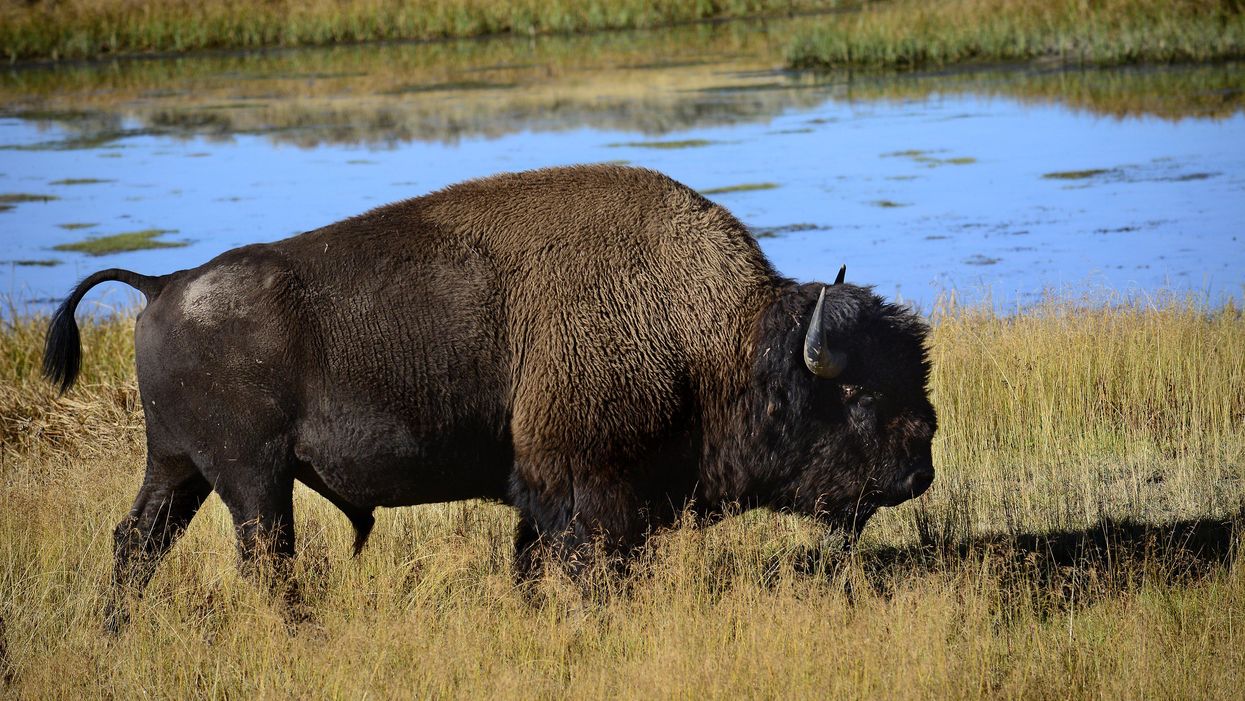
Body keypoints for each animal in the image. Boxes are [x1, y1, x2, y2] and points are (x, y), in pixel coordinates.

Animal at [43, 165, 935, 631]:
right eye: (857, 392)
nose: (918, 468)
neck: (715, 338)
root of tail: (163, 283)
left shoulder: (543, 494)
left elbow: (532, 560)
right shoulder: (589, 491)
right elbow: (589, 562)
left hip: (178, 468)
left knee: (137, 542)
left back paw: (115, 629)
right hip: (249, 477)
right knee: (265, 556)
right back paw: (300, 633)